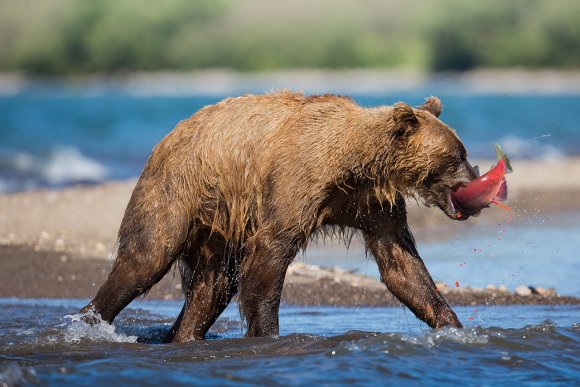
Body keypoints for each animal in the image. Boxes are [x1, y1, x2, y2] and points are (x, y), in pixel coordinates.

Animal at [82, 91, 480, 342]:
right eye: (456, 155)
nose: (475, 175)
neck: (355, 165)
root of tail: (166, 138)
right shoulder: (296, 184)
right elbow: (268, 258)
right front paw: (268, 335)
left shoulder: (371, 205)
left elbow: (402, 266)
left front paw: (454, 326)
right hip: (175, 190)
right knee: (146, 258)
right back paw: (89, 322)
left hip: (218, 224)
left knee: (213, 287)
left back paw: (183, 335)